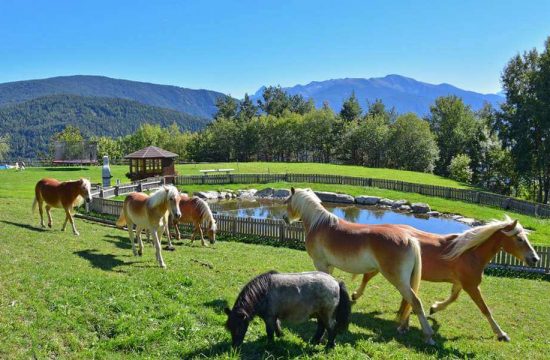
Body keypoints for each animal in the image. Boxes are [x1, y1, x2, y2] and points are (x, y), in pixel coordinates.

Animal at [284, 187, 436, 344]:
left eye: (287, 201)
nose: (284, 218)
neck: (319, 224)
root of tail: (409, 238)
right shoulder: (329, 266)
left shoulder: (320, 264)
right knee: (408, 302)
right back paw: (403, 328)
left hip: (398, 280)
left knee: (415, 302)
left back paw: (428, 336)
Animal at [354, 215, 544, 342]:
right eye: (519, 239)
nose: (535, 259)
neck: (469, 253)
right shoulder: (471, 285)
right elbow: (485, 309)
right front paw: (501, 334)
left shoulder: (460, 283)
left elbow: (453, 298)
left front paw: (434, 308)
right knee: (368, 277)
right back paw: (357, 296)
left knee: (405, 295)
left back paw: (403, 321)